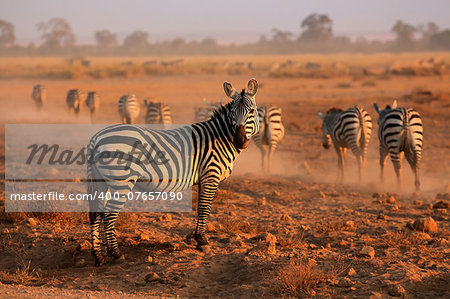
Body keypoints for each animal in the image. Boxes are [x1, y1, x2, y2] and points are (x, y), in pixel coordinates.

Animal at [86, 78, 260, 266]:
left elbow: (200, 208)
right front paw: (202, 241)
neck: (220, 137)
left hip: (102, 180)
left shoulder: (203, 178)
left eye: (251, 111)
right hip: (122, 181)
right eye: (232, 113)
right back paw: (116, 254)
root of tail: (96, 137)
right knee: (108, 215)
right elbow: (205, 207)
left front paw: (198, 240)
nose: (239, 140)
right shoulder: (211, 174)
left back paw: (98, 255)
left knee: (95, 214)